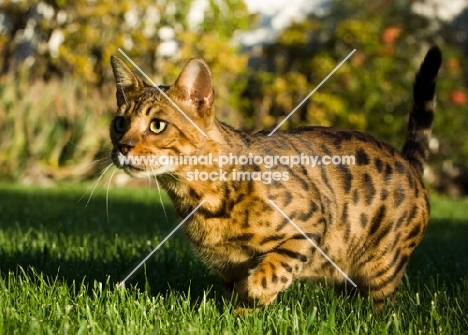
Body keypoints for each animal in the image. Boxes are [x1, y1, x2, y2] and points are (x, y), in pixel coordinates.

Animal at [109, 46, 442, 312]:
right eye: (120, 123)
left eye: (157, 125)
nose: (122, 146)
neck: (202, 201)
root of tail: (408, 161)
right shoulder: (227, 266)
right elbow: (238, 298)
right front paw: (239, 316)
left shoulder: (311, 223)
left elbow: (271, 273)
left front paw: (259, 292)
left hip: (382, 265)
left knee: (384, 308)